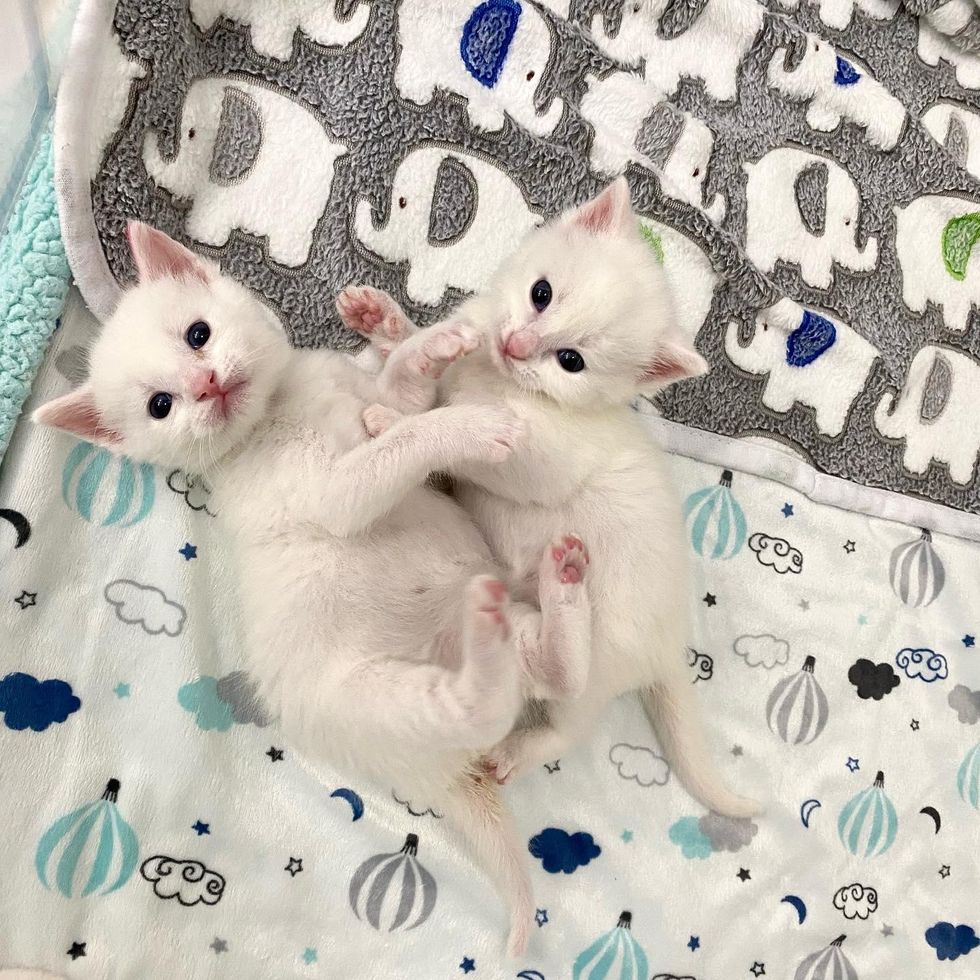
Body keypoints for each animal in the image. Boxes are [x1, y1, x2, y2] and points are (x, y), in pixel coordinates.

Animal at [32, 220, 588, 948]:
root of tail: (451, 772)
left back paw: (563, 592)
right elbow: (400, 443)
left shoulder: (369, 398)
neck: (281, 406)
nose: (204, 384)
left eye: (198, 334)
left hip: (503, 647)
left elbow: (401, 399)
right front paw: (469, 426)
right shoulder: (333, 494)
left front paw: (420, 339)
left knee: (554, 675)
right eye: (160, 406)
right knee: (474, 707)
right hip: (377, 702)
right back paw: (486, 643)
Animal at [340, 178, 760, 820]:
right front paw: (386, 322)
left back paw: (523, 743)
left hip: (602, 653)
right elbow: (424, 364)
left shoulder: (543, 459)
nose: (517, 344)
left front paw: (400, 421)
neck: (499, 378)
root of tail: (668, 645)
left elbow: (461, 435)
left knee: (571, 713)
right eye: (541, 293)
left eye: (571, 362)